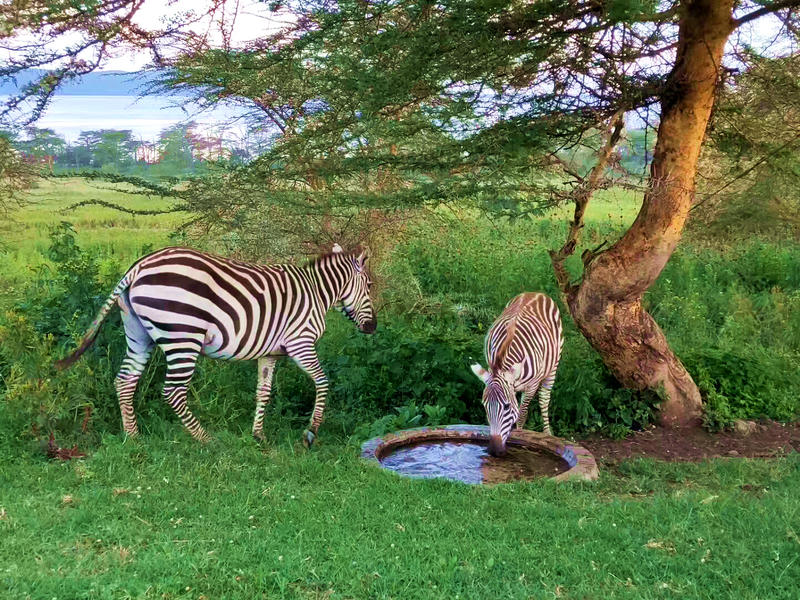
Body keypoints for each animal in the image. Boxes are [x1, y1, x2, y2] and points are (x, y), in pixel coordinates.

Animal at [55, 244, 376, 446]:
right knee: (172, 391)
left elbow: (263, 392)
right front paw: (311, 432)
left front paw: (258, 435)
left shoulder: (270, 353)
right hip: (183, 335)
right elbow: (323, 381)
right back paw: (206, 440)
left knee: (125, 380)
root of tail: (138, 267)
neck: (317, 292)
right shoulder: (301, 342)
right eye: (371, 286)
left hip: (137, 333)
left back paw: (133, 437)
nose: (372, 328)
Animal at [468, 292, 564, 458]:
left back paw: (547, 433)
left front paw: (521, 437)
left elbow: (522, 413)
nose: (494, 451)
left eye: (506, 406)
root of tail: (535, 293)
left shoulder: (532, 385)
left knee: (544, 399)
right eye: (484, 406)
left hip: (553, 367)